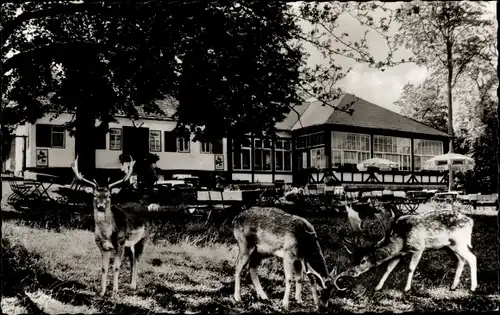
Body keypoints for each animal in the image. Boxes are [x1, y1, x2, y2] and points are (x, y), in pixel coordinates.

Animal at [71, 157, 148, 298]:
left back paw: (134, 286)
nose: (101, 206)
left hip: (143, 237)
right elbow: (104, 268)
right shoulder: (102, 246)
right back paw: (130, 283)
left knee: (137, 258)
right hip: (130, 243)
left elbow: (116, 267)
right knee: (132, 259)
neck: (106, 234)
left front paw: (114, 292)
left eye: (109, 195)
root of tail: (144, 206)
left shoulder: (120, 243)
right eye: (94, 195)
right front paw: (102, 291)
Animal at [334, 210, 478, 294]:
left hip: (459, 242)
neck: (401, 240)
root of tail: (471, 222)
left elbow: (410, 268)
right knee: (461, 260)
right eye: (352, 259)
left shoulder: (419, 247)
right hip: (450, 246)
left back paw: (473, 287)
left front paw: (406, 288)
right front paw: (378, 287)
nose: (351, 272)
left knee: (472, 258)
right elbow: (388, 269)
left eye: (363, 260)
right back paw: (453, 286)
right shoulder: (399, 254)